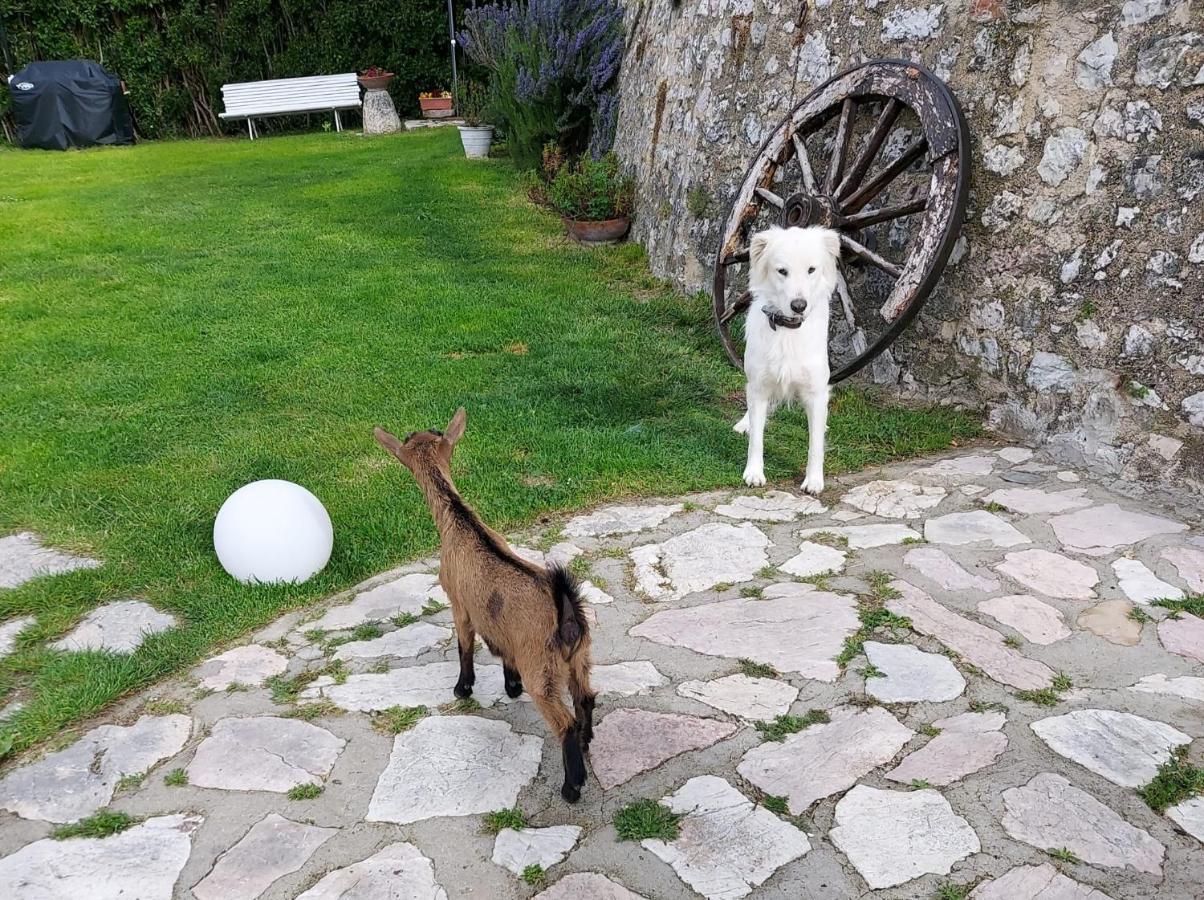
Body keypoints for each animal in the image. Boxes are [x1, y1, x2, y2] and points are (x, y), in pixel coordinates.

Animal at [373, 406, 594, 803]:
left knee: (565, 722)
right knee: (586, 700)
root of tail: (566, 615)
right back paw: (586, 746)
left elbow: (464, 645)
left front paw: (463, 689)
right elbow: (502, 648)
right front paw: (510, 686)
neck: (460, 523)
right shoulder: (501, 623)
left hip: (543, 670)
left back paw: (572, 786)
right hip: (580, 658)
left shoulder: (458, 602)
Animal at [732, 225, 837, 493]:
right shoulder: (759, 387)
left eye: (811, 269)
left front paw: (814, 480)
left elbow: (815, 444)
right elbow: (757, 439)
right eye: (782, 271)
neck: (787, 330)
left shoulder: (816, 392)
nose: (799, 305)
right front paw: (754, 472)